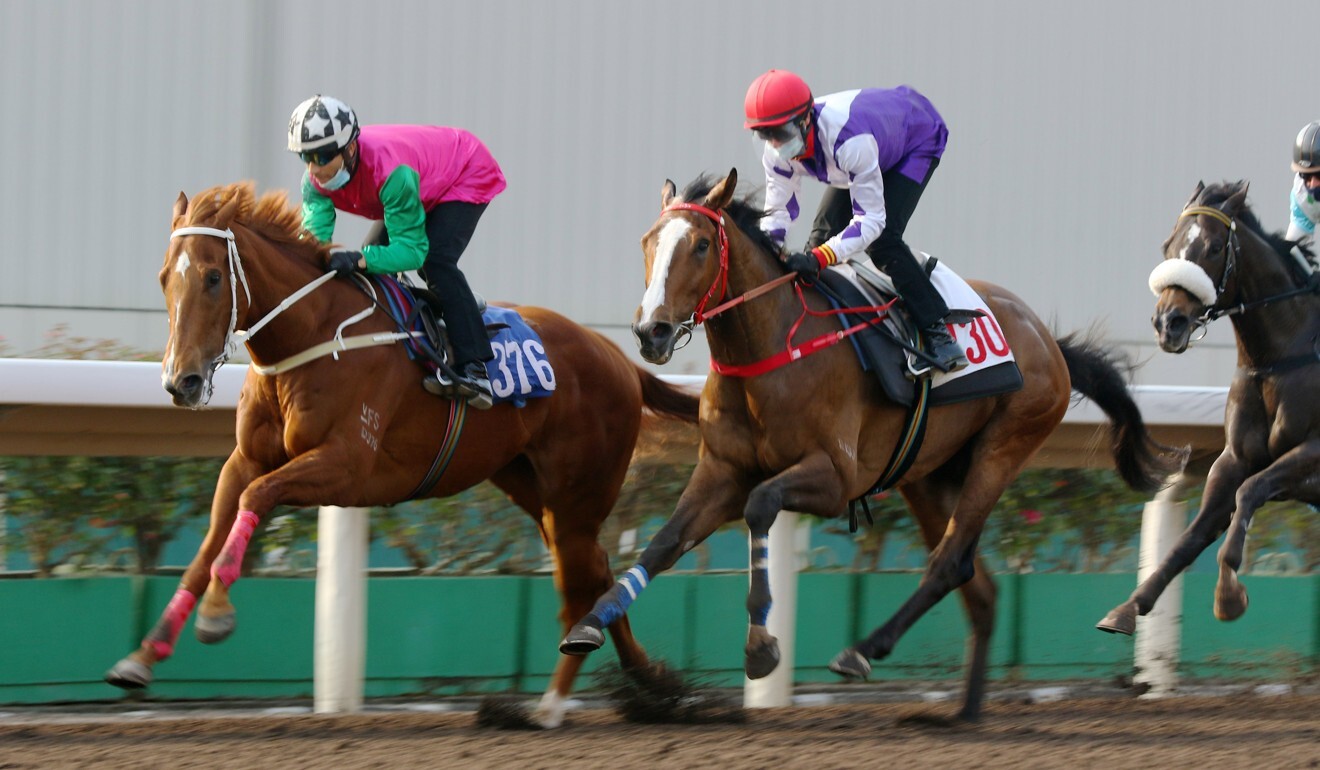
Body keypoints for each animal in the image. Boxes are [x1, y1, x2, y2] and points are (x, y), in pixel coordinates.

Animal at [102, 180, 702, 729]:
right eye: (164, 277)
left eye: (212, 277)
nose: (181, 381)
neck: (311, 335)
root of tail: (621, 360)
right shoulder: (244, 459)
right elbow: (208, 543)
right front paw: (143, 655)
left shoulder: (345, 466)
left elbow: (256, 497)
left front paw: (216, 617)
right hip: (538, 492)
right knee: (596, 569)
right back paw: (649, 683)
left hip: (578, 493)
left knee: (580, 583)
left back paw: (553, 705)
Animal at [557, 170, 1177, 723]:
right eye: (648, 242)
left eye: (702, 245)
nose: (652, 333)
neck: (771, 350)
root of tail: (1048, 340)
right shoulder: (722, 470)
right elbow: (664, 542)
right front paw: (589, 623)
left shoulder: (834, 478)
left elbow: (760, 506)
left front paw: (762, 645)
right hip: (927, 475)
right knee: (979, 587)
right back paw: (963, 714)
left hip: (1003, 448)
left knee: (948, 562)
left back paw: (863, 650)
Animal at [1092, 182, 1320, 639]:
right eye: (1167, 245)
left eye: (1215, 247)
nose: (1170, 323)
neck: (1281, 357)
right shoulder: (1234, 458)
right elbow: (1192, 536)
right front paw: (1127, 609)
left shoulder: (1312, 454)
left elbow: (1250, 490)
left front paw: (1228, 596)